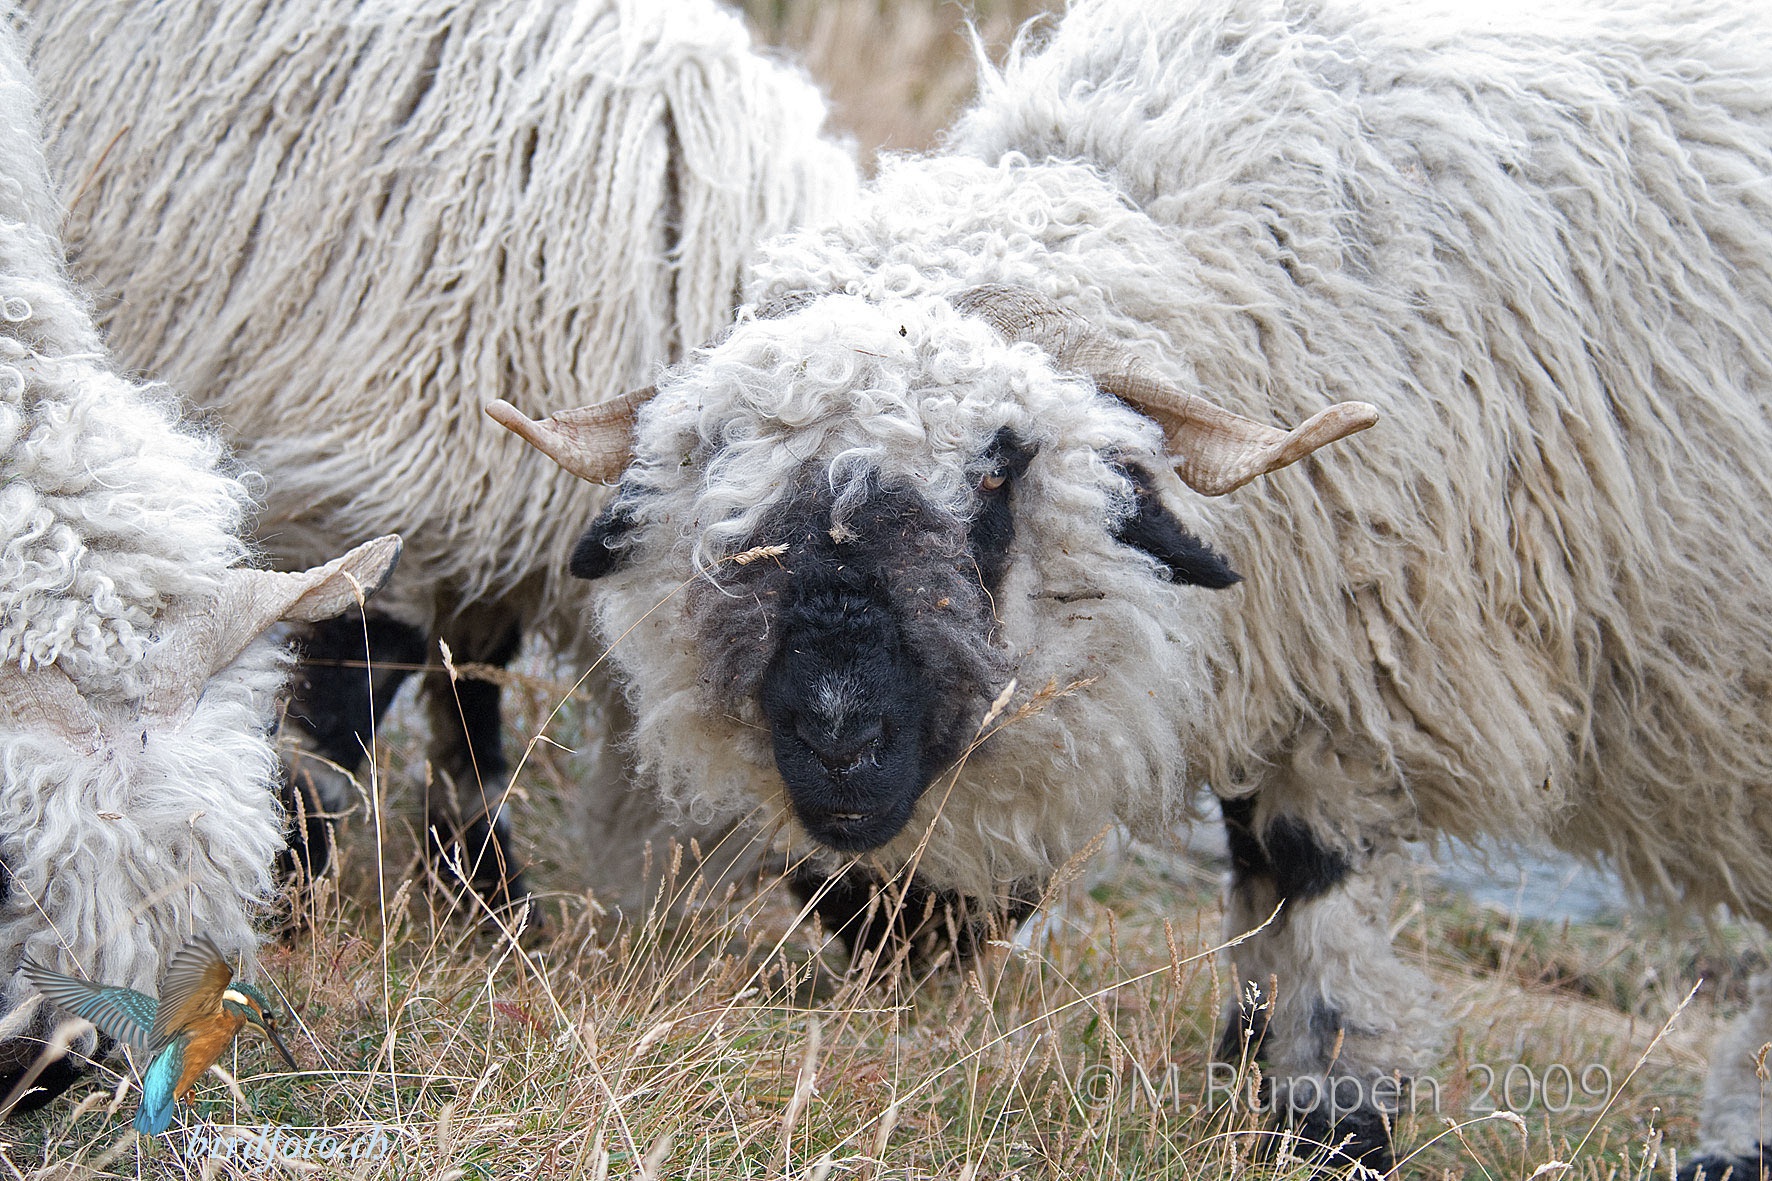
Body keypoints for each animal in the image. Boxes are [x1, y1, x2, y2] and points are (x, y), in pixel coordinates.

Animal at [20, 0, 860, 908]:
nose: (920, 933)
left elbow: (472, 707)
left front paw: (483, 889)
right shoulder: (395, 473)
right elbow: (338, 729)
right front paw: (298, 892)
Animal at [494, 0, 1772, 1172]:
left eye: (1000, 472)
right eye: (714, 471)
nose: (835, 738)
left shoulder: (1369, 683)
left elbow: (1314, 895)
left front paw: (1332, 1122)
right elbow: (1255, 884)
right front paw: (1246, 1087)